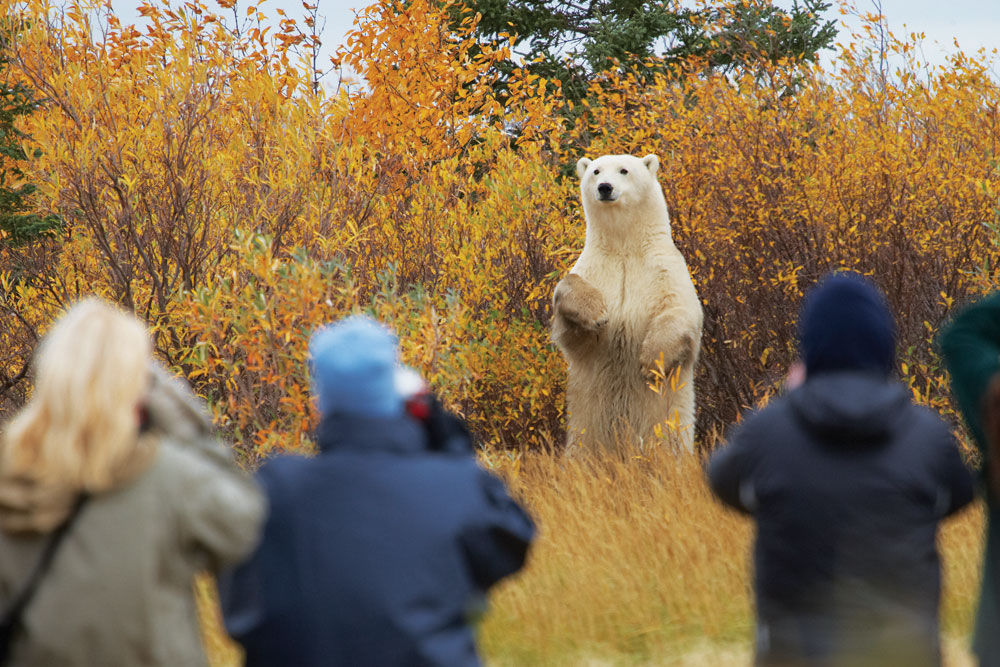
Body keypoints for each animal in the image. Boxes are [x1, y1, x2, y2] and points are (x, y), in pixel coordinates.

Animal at [551, 153, 703, 454]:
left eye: (624, 170)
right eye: (596, 171)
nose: (605, 187)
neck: (625, 247)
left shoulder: (663, 269)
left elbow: (679, 311)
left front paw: (649, 363)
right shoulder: (596, 268)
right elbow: (569, 301)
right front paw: (596, 313)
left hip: (666, 429)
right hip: (584, 432)